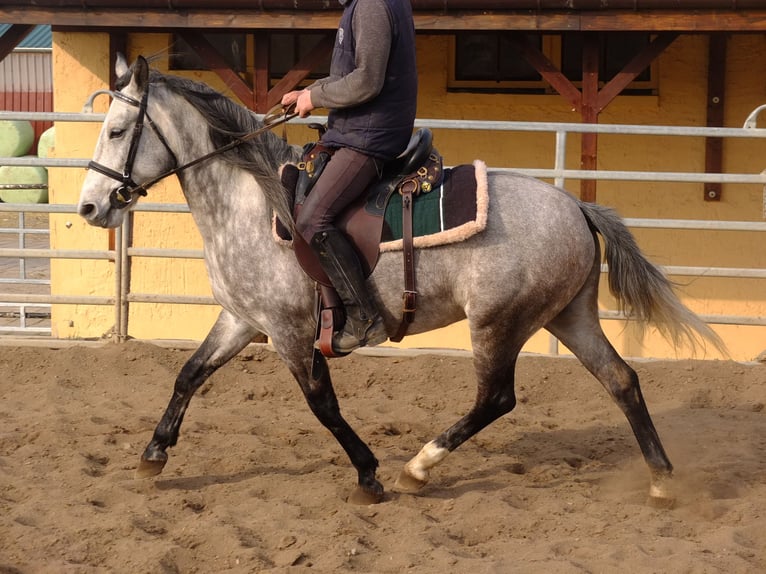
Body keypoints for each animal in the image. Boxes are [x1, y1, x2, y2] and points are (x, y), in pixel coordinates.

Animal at [78, 56, 728, 508]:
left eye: (117, 130)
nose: (89, 207)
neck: (251, 202)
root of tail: (576, 206)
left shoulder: (291, 333)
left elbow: (322, 404)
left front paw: (369, 475)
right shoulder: (242, 319)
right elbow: (189, 374)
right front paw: (153, 456)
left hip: (499, 323)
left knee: (497, 398)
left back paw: (418, 467)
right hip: (569, 316)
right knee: (621, 381)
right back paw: (662, 482)